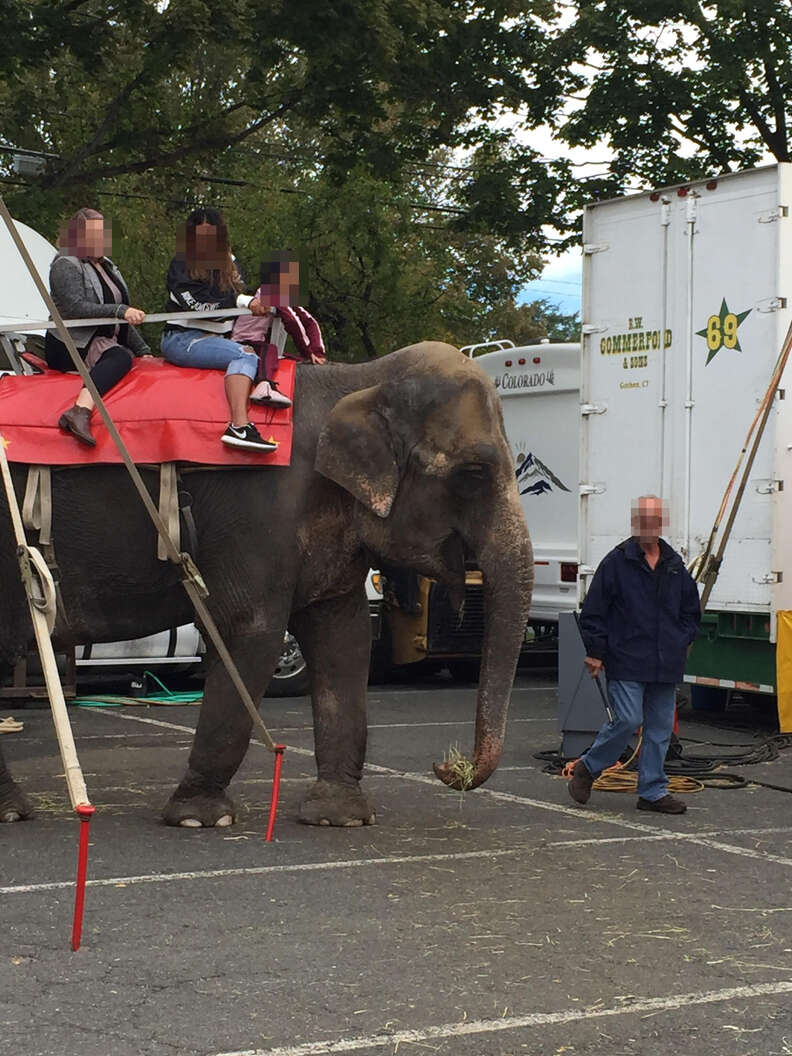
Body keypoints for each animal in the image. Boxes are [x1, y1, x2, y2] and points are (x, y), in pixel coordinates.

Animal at [0, 342, 533, 827]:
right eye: (473, 473)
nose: (447, 767)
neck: (356, 377)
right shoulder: (259, 511)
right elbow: (250, 632)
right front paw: (199, 818)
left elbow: (345, 639)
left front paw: (340, 817)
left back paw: (12, 811)